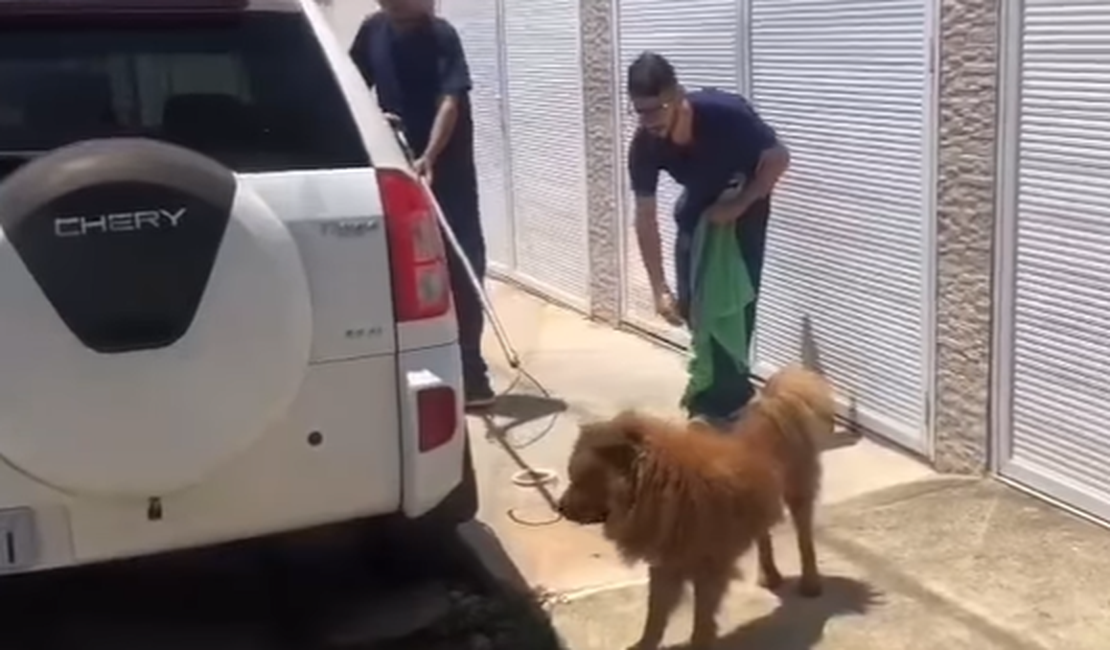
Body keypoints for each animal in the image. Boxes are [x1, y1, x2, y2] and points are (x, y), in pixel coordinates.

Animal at [555, 363, 834, 647]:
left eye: (581, 479)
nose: (559, 506)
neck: (666, 487)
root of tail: (772, 406)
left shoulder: (708, 569)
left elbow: (701, 618)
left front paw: (699, 642)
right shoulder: (666, 565)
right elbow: (655, 617)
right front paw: (644, 644)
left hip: (798, 494)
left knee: (804, 537)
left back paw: (810, 582)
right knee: (764, 534)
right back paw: (770, 576)